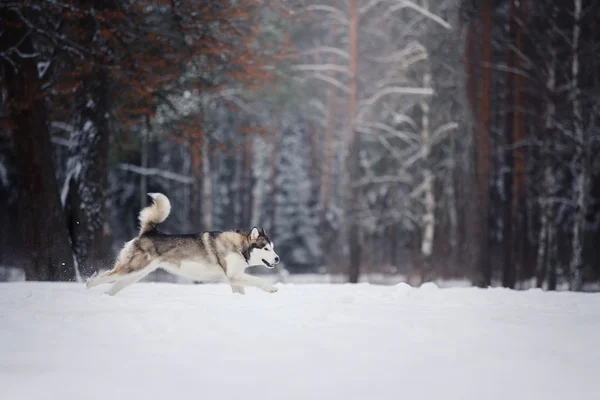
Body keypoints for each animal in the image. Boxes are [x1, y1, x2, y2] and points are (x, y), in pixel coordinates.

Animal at [85, 192, 280, 296]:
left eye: (273, 248)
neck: (239, 248)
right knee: (105, 276)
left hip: (135, 275)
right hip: (132, 269)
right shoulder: (234, 276)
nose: (277, 259)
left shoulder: (235, 277)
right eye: (265, 248)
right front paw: (272, 288)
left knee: (113, 287)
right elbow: (258, 280)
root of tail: (148, 232)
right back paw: (89, 285)